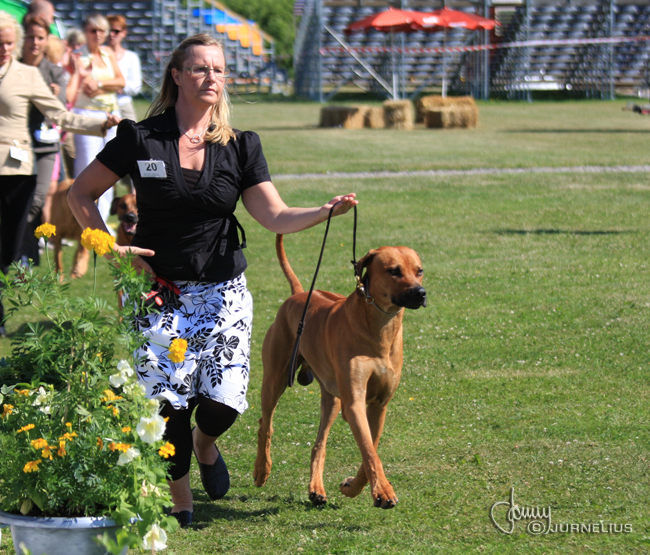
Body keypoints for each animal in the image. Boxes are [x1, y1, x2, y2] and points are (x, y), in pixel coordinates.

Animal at [253, 235, 426, 508]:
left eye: (419, 271)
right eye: (394, 271)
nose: (420, 293)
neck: (380, 328)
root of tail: (300, 293)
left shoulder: (379, 404)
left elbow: (370, 450)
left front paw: (353, 488)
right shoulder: (354, 403)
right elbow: (369, 451)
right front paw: (383, 491)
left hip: (331, 396)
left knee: (319, 444)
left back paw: (316, 488)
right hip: (274, 378)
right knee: (265, 423)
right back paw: (262, 470)